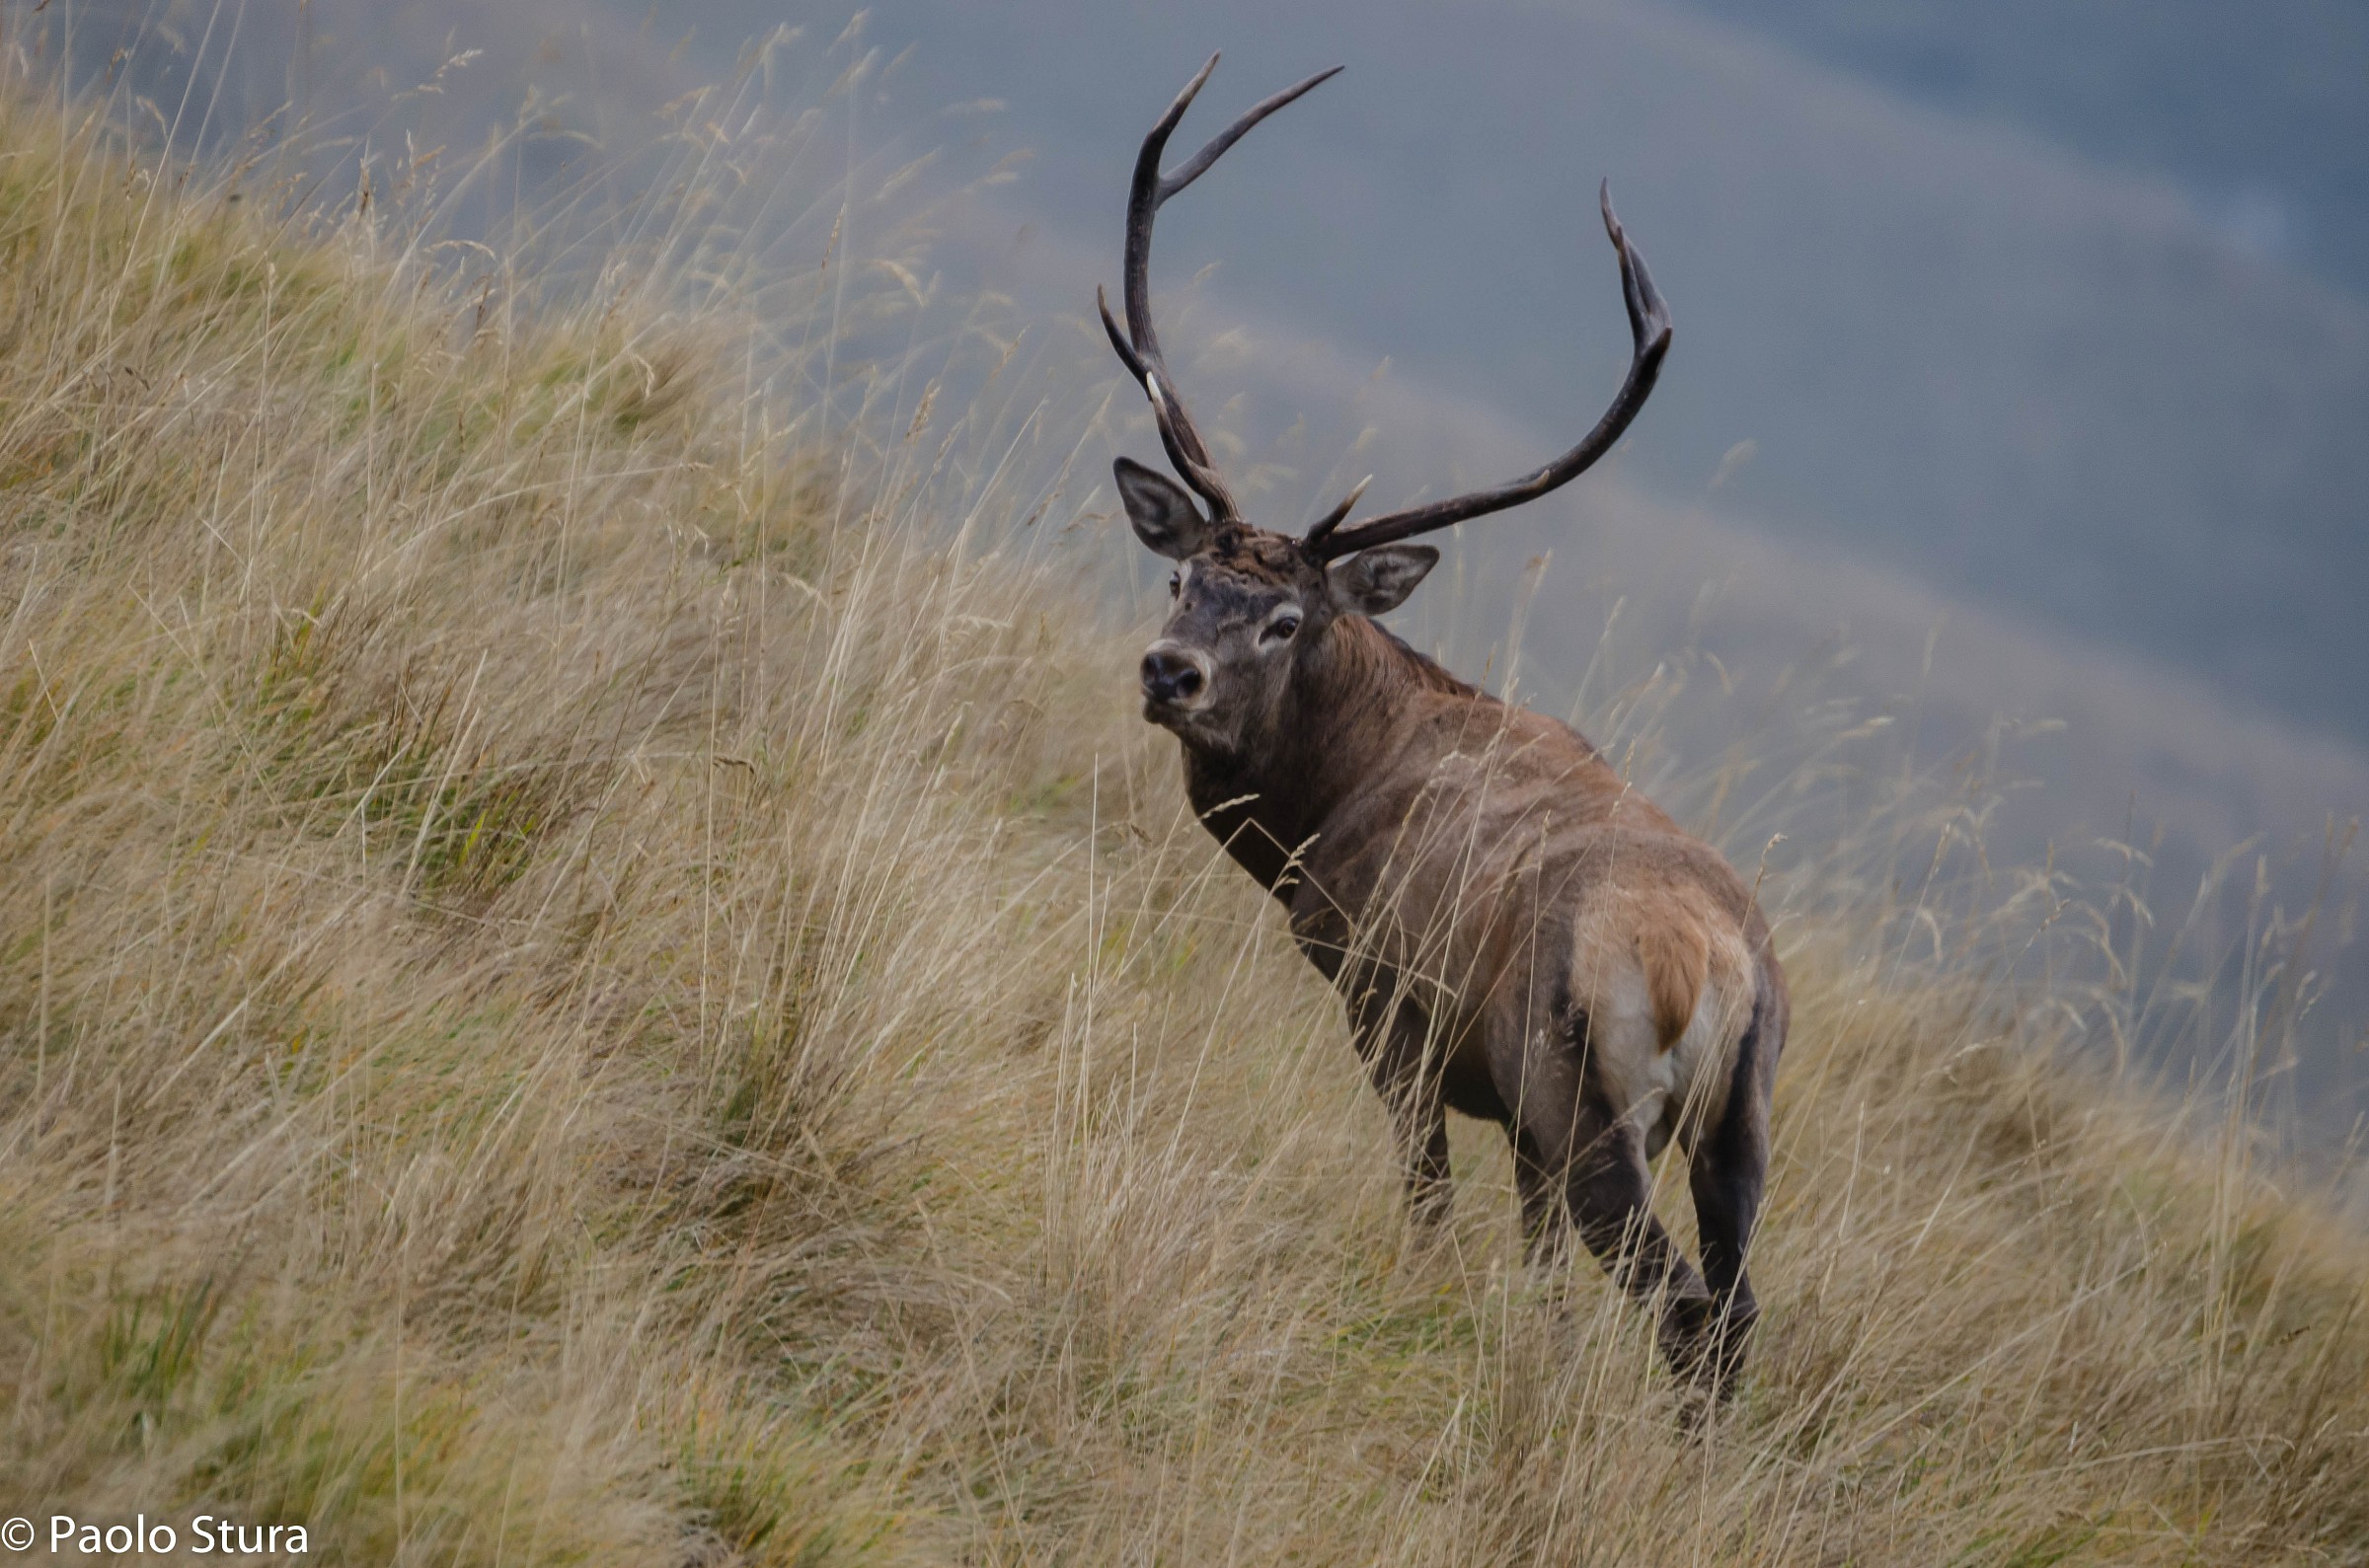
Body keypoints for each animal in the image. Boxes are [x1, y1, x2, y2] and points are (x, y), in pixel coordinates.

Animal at [1099, 57, 1788, 1398]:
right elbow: (1535, 1270)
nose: (1171, 671)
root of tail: (1716, 971)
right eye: (1181, 576)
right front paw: (1528, 1349)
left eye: (1286, 620)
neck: (1323, 817)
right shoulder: (1518, 1120)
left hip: (1585, 1090)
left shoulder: (1394, 1008)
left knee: (1681, 1300)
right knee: (1735, 1308)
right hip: (1742, 1119)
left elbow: (1424, 1197)